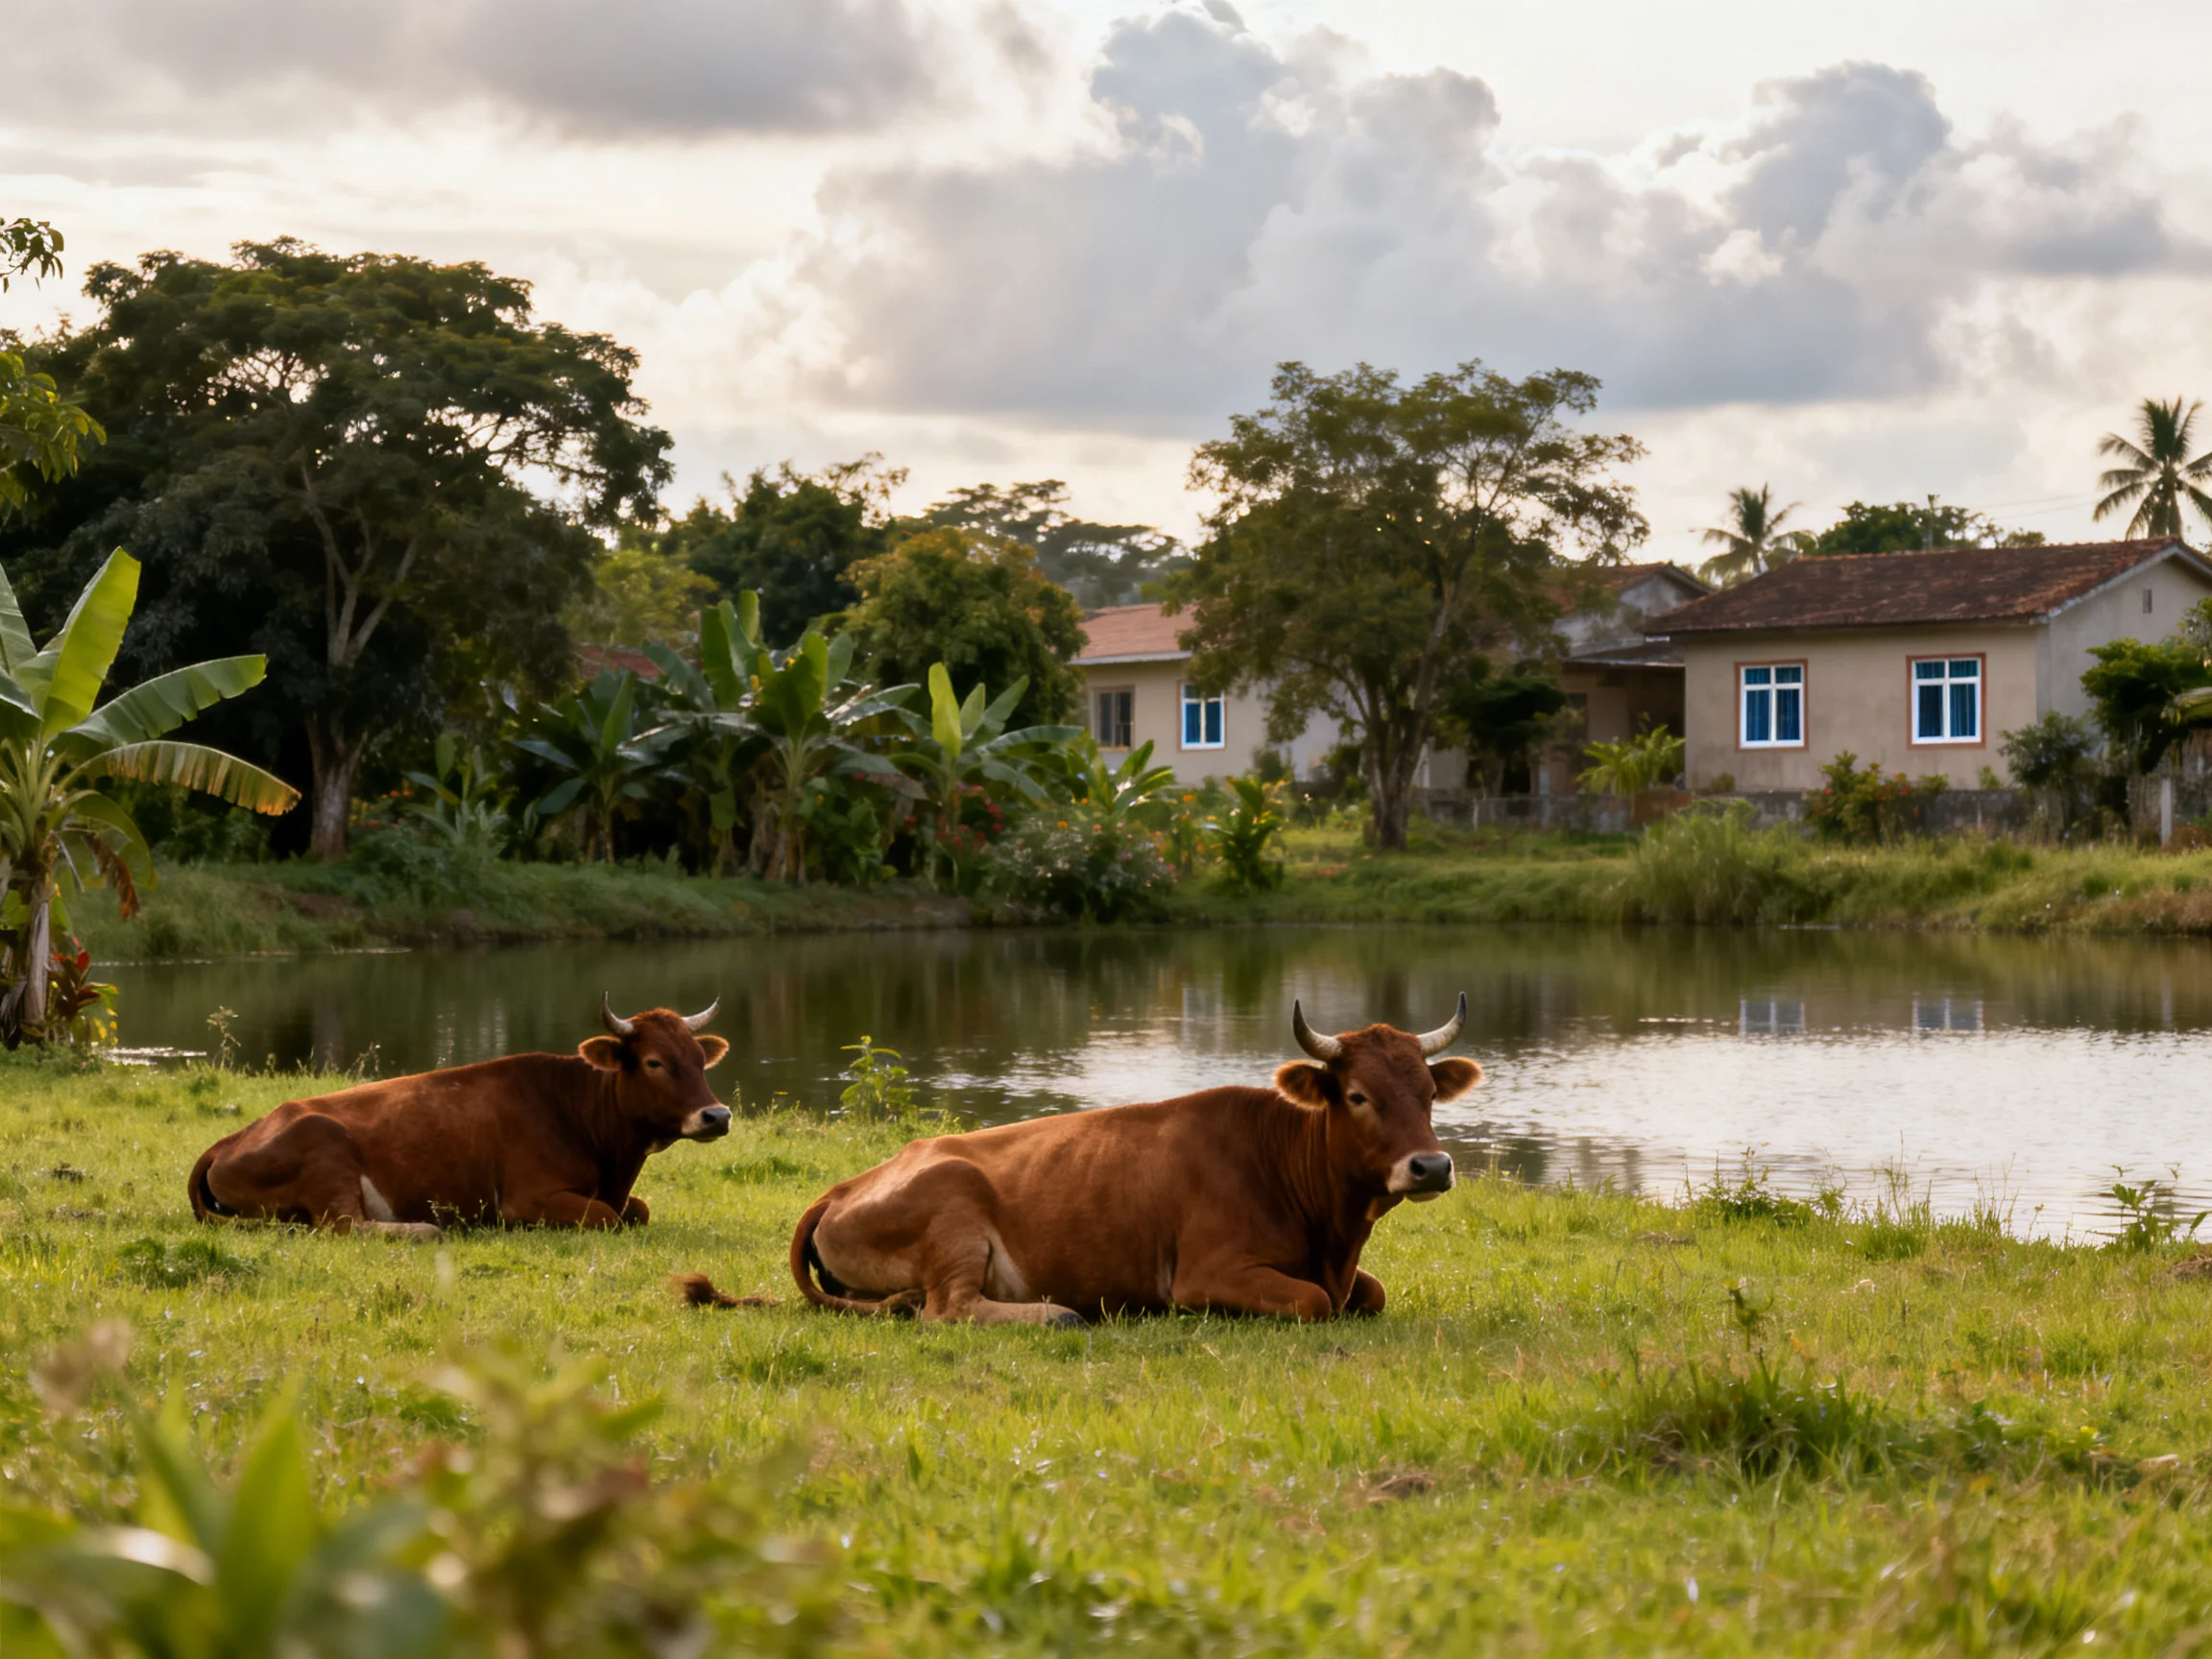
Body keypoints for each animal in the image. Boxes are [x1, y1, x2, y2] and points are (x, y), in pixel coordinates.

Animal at [188, 995, 731, 1238]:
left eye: (699, 1059)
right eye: (654, 1062)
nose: (717, 1115)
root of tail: (230, 1140)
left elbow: (637, 1209)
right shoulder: (524, 1199)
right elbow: (609, 1217)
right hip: (325, 1147)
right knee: (345, 1225)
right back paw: (425, 1229)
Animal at [676, 996, 1479, 1324]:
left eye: (1426, 1093)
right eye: (1357, 1095)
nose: (1431, 1168)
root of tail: (848, 1183)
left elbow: (1369, 1293)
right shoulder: (1206, 1275)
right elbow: (1315, 1301)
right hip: (955, 1208)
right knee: (948, 1309)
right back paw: (1055, 1314)